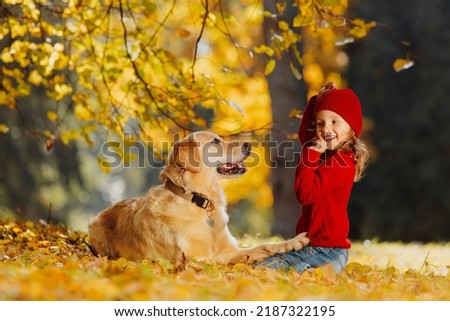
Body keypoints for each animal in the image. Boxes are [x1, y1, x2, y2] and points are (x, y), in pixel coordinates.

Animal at [87, 130, 310, 262]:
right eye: (215, 142)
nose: (249, 144)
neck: (198, 199)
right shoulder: (196, 261)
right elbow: (221, 262)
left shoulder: (232, 249)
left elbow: (264, 245)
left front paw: (293, 241)